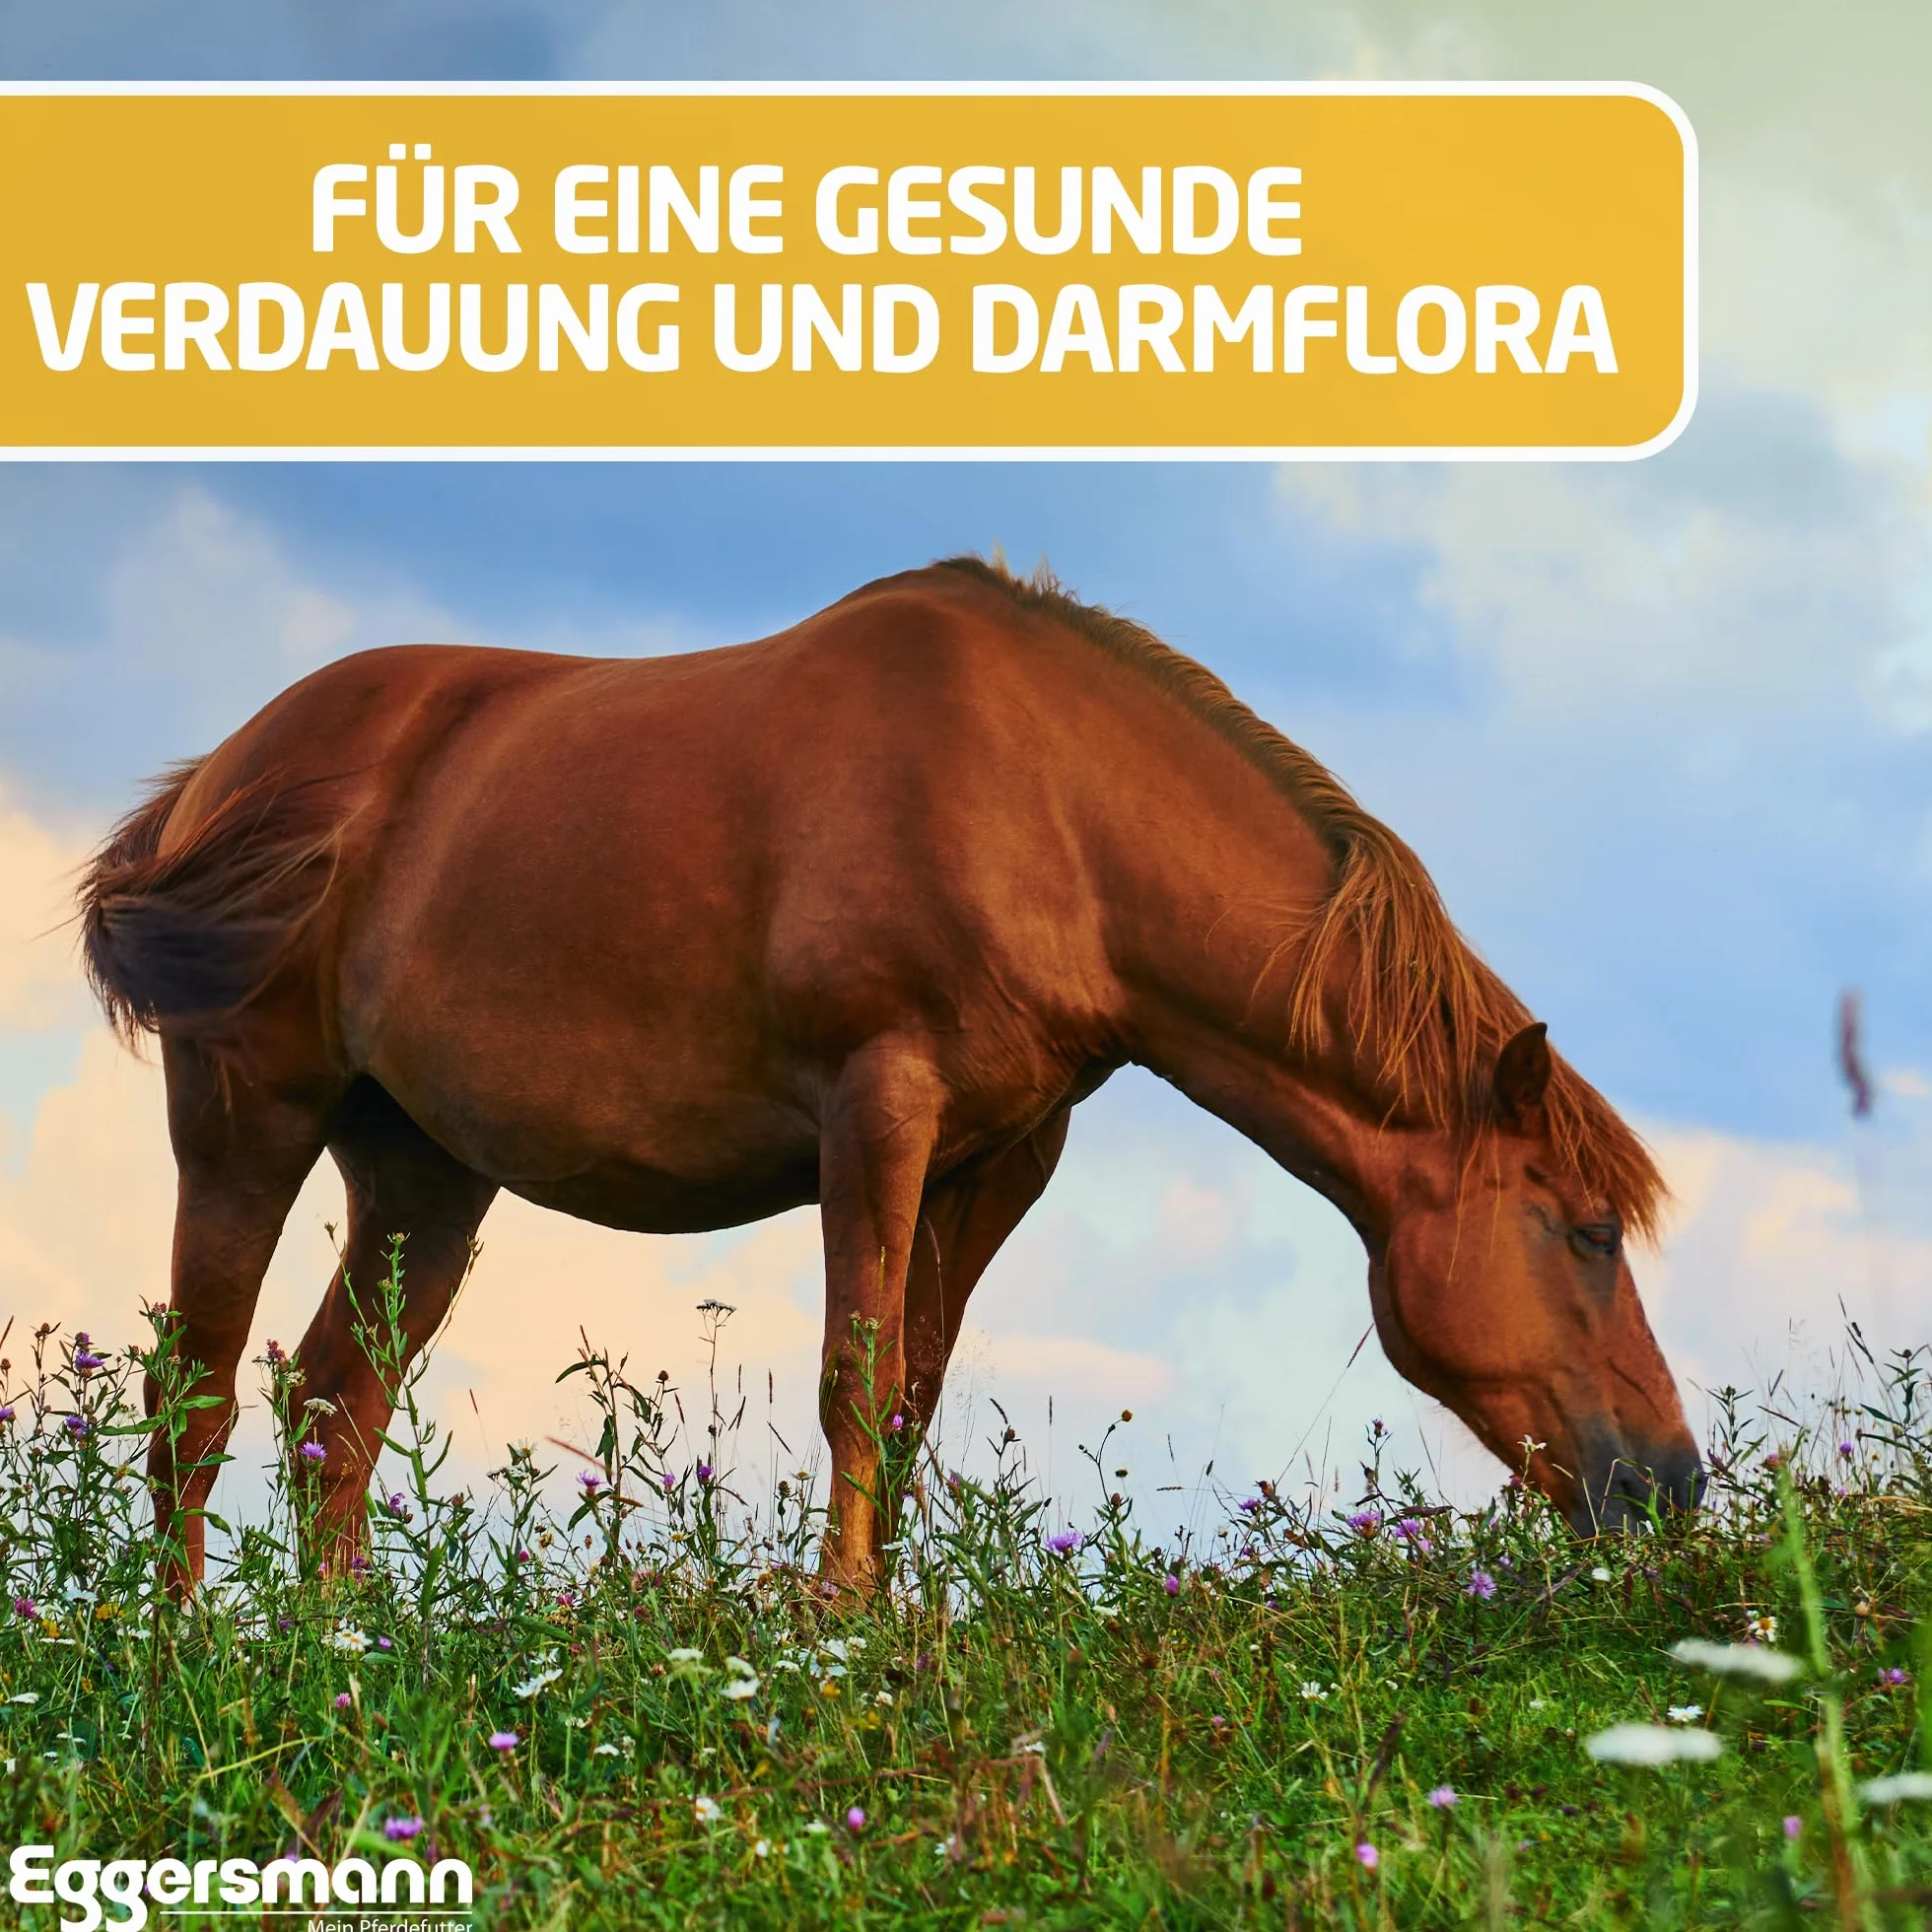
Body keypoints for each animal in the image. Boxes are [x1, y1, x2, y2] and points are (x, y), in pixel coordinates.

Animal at [78, 555, 1701, 1590]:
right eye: (1585, 1230)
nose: (1672, 1482)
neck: (1048, 812)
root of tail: (219, 780)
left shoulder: (1000, 1155)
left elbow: (913, 1394)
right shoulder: (878, 1109)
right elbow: (855, 1380)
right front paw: (837, 1626)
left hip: (423, 1175)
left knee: (330, 1417)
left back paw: (344, 1665)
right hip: (246, 1118)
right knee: (194, 1399)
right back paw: (186, 1668)